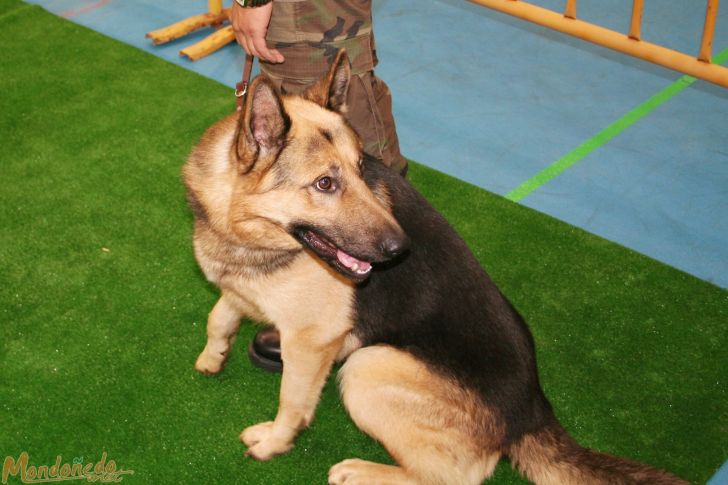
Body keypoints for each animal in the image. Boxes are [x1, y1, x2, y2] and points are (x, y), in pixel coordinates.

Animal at [185, 51, 684, 482]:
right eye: (325, 183)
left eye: (362, 168)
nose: (400, 248)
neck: (244, 229)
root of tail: (533, 410)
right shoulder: (240, 288)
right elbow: (219, 315)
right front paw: (214, 355)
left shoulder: (312, 341)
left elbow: (291, 401)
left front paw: (273, 442)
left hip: (368, 365)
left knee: (455, 476)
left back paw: (362, 471)